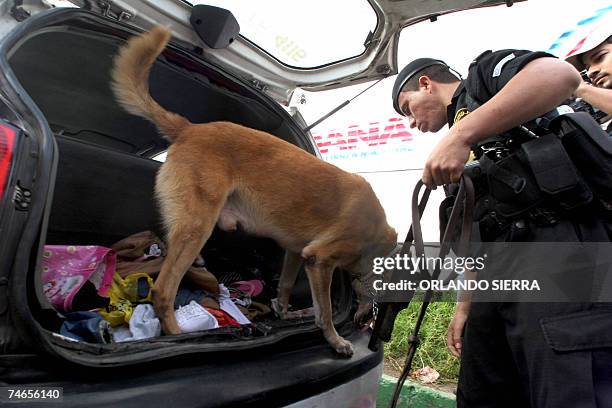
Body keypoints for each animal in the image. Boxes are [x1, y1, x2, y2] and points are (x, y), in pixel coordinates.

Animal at [111, 27, 396, 356]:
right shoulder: (320, 260)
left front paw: (284, 312)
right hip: (197, 227)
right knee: (162, 289)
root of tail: (189, 128)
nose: (366, 320)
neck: (376, 234)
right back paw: (177, 333)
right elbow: (324, 310)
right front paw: (334, 339)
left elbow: (285, 286)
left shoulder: (296, 253)